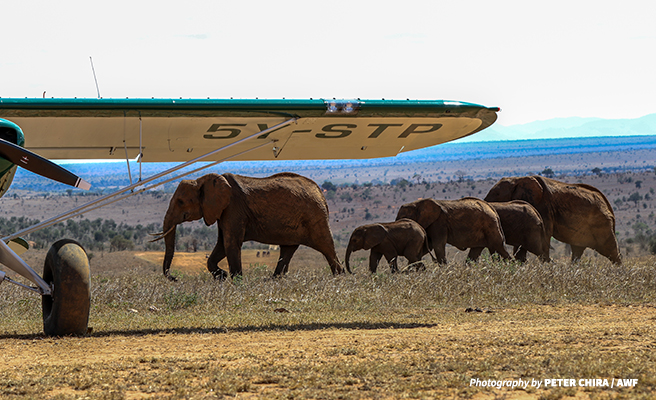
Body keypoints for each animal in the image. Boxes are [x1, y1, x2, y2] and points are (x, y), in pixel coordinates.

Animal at [151, 172, 345, 280]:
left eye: (181, 202)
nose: (175, 278)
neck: (202, 180)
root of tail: (320, 192)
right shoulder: (223, 211)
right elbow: (222, 244)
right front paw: (222, 277)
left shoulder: (233, 208)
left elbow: (230, 243)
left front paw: (236, 282)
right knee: (287, 250)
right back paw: (274, 281)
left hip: (315, 215)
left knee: (326, 246)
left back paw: (340, 279)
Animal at [484, 175, 621, 264]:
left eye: (496, 194)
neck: (518, 179)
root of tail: (607, 203)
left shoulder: (544, 208)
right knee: (577, 249)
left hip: (601, 223)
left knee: (611, 249)